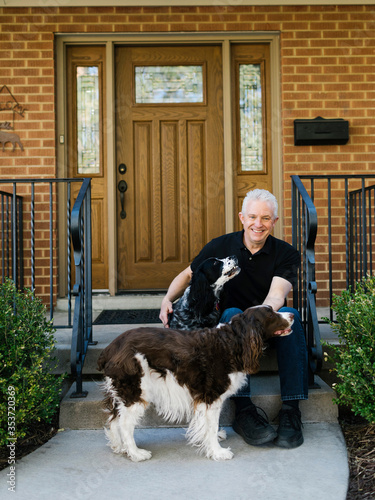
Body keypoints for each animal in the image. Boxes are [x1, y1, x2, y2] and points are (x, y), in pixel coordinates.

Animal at [96, 306, 294, 462]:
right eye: (271, 315)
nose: (292, 315)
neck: (232, 342)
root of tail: (110, 349)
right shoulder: (211, 396)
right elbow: (211, 425)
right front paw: (218, 452)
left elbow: (209, 425)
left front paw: (216, 438)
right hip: (135, 391)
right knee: (125, 424)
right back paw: (136, 453)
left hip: (121, 392)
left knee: (114, 419)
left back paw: (120, 447)